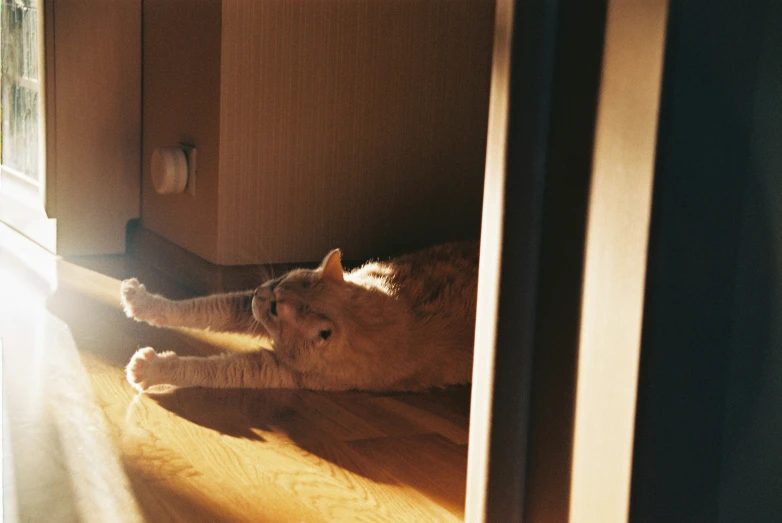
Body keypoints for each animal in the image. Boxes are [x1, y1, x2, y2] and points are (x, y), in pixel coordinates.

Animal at [121, 242, 478, 392]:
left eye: (276, 310)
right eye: (282, 278)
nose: (258, 292)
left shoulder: (275, 370)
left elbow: (208, 369)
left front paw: (152, 369)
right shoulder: (246, 310)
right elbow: (198, 307)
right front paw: (142, 301)